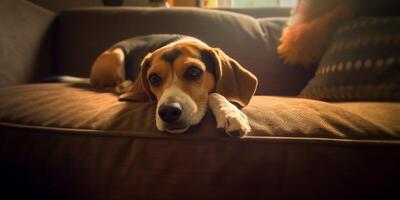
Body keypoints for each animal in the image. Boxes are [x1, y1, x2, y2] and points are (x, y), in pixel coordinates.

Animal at [88, 34, 256, 138]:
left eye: (193, 71)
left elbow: (214, 94)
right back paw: (125, 85)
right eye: (154, 79)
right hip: (117, 54)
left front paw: (230, 114)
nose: (168, 112)